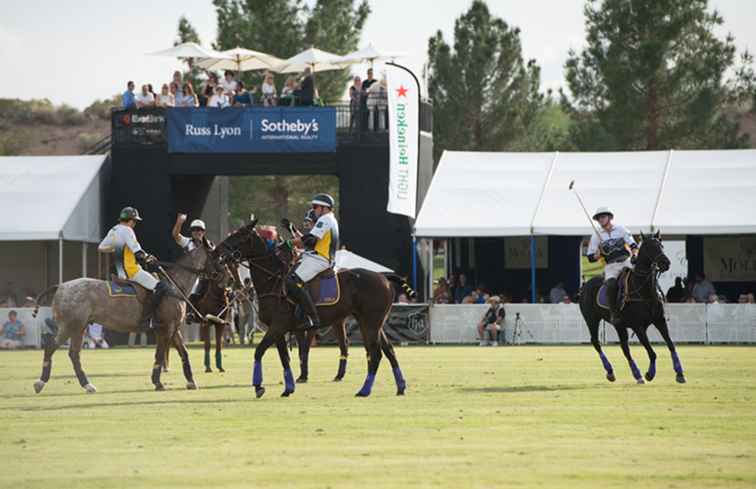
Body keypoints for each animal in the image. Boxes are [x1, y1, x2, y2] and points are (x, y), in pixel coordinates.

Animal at [32, 242, 220, 394]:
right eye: (216, 256)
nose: (221, 277)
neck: (175, 286)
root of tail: (60, 286)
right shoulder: (166, 328)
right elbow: (159, 354)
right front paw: (158, 382)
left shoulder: (173, 328)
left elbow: (184, 352)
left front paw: (191, 382)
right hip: (70, 326)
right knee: (51, 347)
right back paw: (40, 383)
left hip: (79, 327)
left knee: (73, 354)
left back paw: (87, 385)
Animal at [213, 221, 408, 396]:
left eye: (239, 236)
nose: (217, 252)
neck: (273, 282)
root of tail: (385, 278)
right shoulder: (278, 330)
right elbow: (284, 358)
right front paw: (288, 388)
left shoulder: (278, 327)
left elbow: (259, 351)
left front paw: (258, 387)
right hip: (371, 322)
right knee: (389, 350)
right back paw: (400, 387)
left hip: (370, 323)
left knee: (375, 353)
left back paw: (365, 390)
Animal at [580, 231, 684, 384]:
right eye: (649, 248)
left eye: (661, 245)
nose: (666, 263)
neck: (644, 291)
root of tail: (585, 285)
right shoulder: (638, 327)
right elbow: (652, 352)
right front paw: (650, 374)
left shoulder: (660, 320)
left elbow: (671, 345)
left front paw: (680, 373)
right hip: (591, 319)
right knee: (596, 342)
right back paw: (611, 371)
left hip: (619, 325)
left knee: (624, 347)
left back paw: (636, 374)